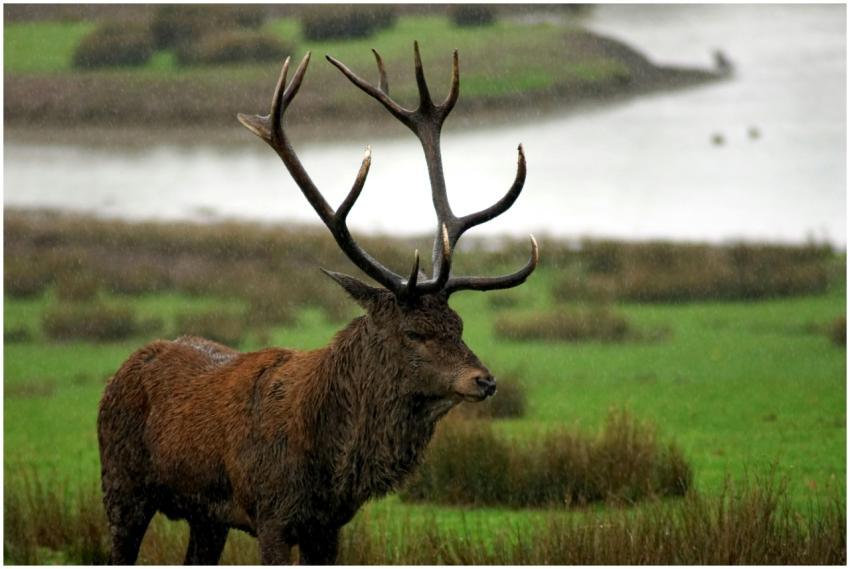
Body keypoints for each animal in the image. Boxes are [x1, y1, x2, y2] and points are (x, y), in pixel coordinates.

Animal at [97, 43, 538, 565]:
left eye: (459, 324)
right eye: (414, 332)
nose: (484, 380)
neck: (330, 466)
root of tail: (125, 366)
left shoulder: (328, 525)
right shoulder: (271, 513)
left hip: (206, 516)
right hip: (121, 486)